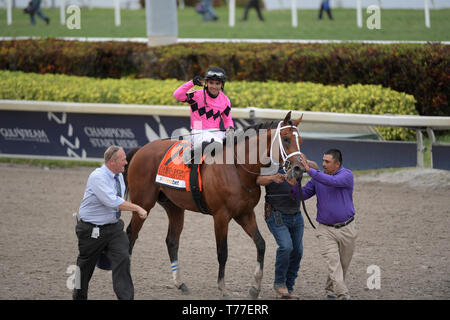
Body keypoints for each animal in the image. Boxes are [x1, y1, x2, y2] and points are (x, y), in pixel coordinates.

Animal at [125, 111, 304, 298]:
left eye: (300, 140)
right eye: (286, 139)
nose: (299, 168)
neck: (237, 168)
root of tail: (141, 149)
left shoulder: (245, 213)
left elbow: (261, 244)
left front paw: (255, 287)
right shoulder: (221, 216)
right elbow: (222, 252)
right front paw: (223, 287)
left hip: (174, 206)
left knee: (172, 240)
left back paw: (180, 283)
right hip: (143, 204)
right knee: (131, 234)